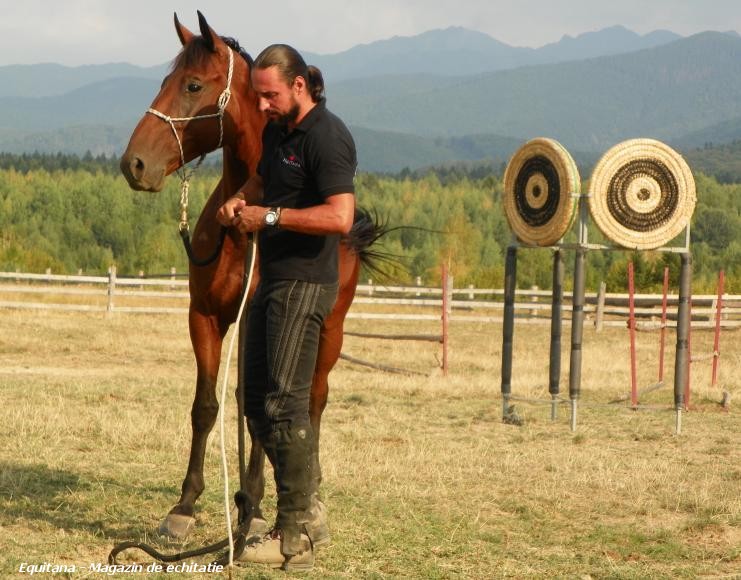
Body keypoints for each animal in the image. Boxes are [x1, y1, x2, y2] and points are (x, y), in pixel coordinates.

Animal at [118, 12, 384, 540]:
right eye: (164, 81)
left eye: (193, 84)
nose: (134, 164)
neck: (242, 235)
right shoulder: (205, 318)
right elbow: (207, 406)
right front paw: (185, 506)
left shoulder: (268, 327)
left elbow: (265, 411)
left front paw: (255, 506)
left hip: (329, 334)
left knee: (314, 402)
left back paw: (307, 493)